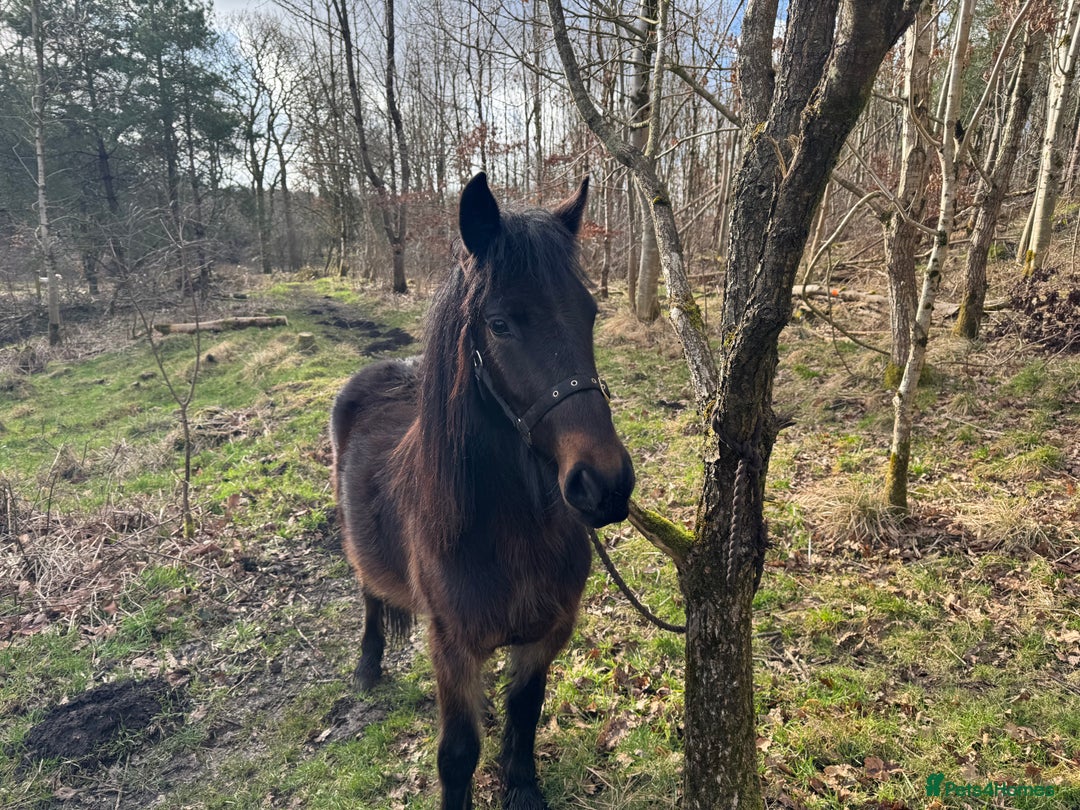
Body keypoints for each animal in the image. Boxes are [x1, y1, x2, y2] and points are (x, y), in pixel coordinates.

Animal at [329, 172, 635, 810]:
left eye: (590, 313)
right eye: (499, 324)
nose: (606, 484)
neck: (508, 531)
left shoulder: (546, 633)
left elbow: (526, 711)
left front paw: (521, 786)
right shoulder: (452, 646)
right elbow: (458, 754)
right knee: (369, 593)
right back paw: (367, 666)